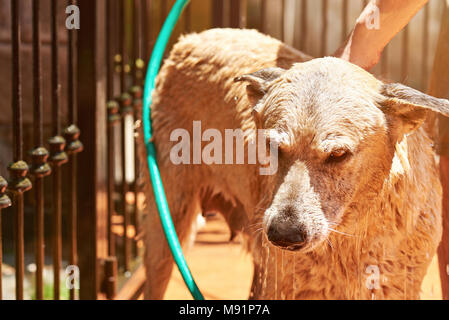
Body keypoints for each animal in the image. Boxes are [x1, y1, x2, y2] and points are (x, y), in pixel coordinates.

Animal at [142, 28, 448, 300]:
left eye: (338, 154)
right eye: (272, 146)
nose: (283, 235)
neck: (351, 237)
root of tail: (191, 39)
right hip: (165, 230)